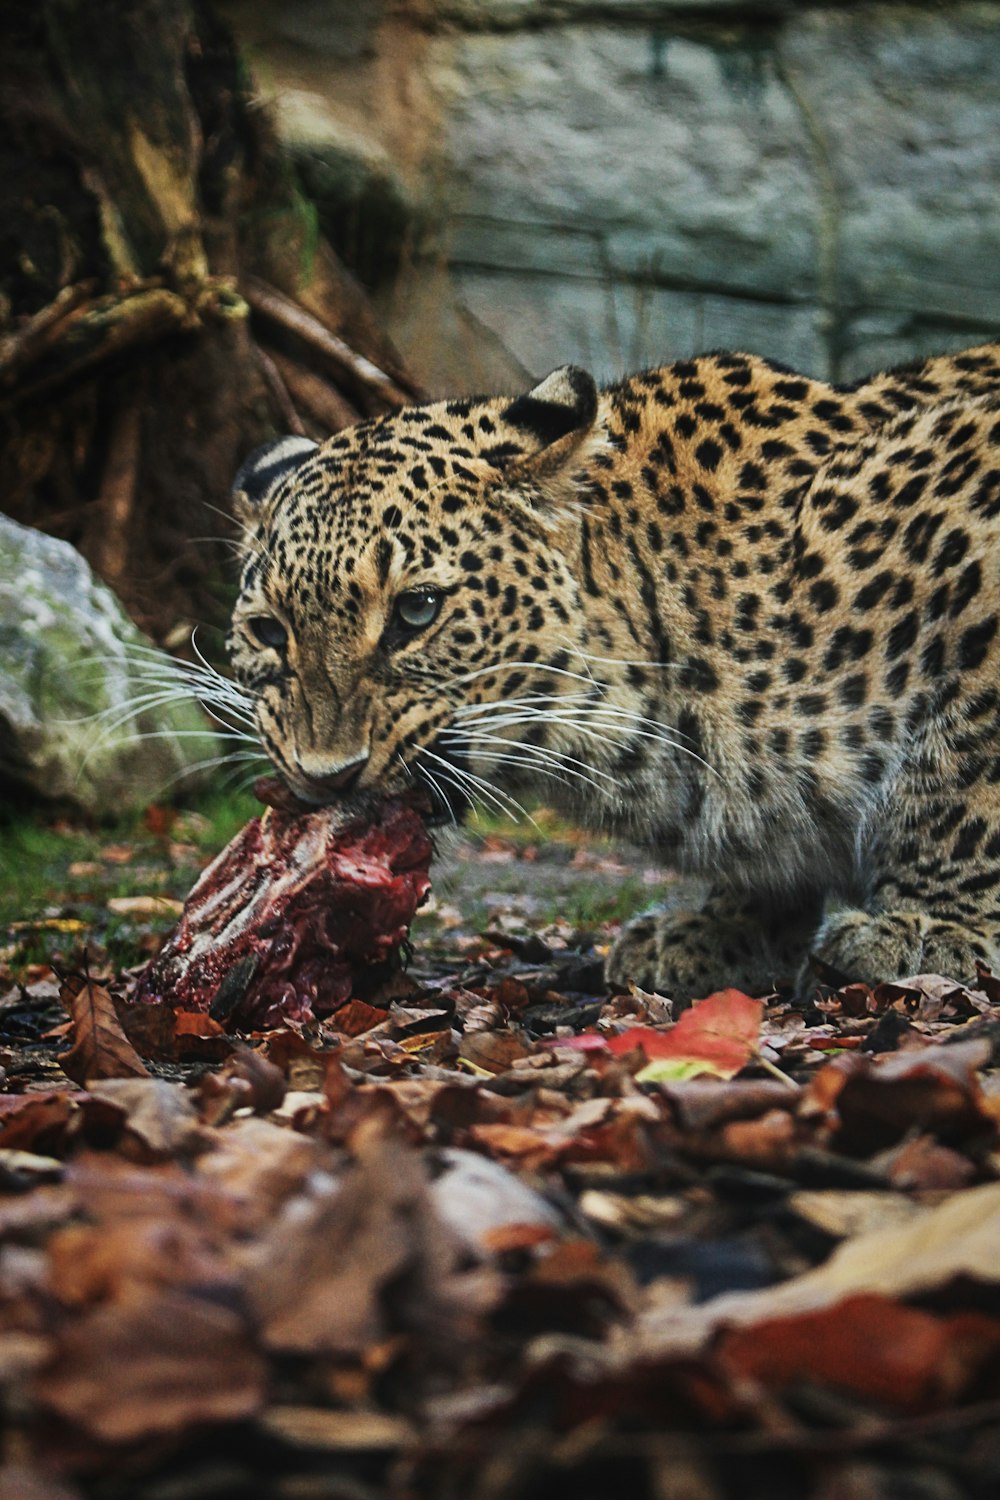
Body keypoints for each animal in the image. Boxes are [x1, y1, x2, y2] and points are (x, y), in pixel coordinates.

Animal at [226, 334, 1000, 1002]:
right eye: (267, 631)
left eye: (417, 610)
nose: (327, 775)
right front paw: (727, 926)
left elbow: (964, 781)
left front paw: (928, 925)